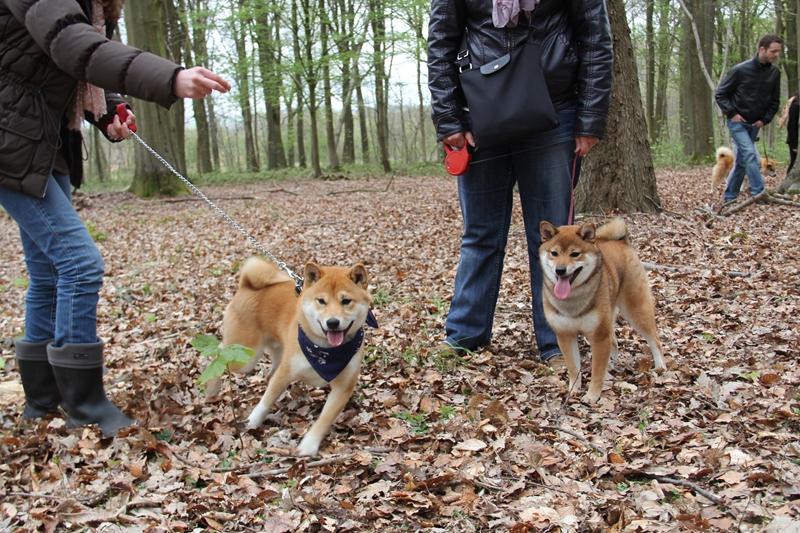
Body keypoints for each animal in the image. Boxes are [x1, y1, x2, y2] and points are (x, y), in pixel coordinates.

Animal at [209, 256, 378, 454]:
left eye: (346, 301)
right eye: (321, 301)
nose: (332, 322)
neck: (325, 353)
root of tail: (246, 286)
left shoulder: (343, 387)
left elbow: (325, 418)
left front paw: (309, 445)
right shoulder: (286, 373)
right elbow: (264, 402)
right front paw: (251, 422)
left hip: (274, 354)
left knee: (266, 374)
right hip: (245, 358)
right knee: (219, 355)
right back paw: (211, 389)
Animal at [540, 218, 664, 402]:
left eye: (575, 254)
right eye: (554, 253)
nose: (560, 270)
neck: (572, 300)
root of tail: (621, 241)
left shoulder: (599, 336)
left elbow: (597, 371)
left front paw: (592, 395)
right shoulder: (565, 335)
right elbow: (573, 368)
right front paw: (573, 390)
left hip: (635, 310)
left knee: (654, 340)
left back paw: (661, 367)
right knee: (614, 340)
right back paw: (611, 366)